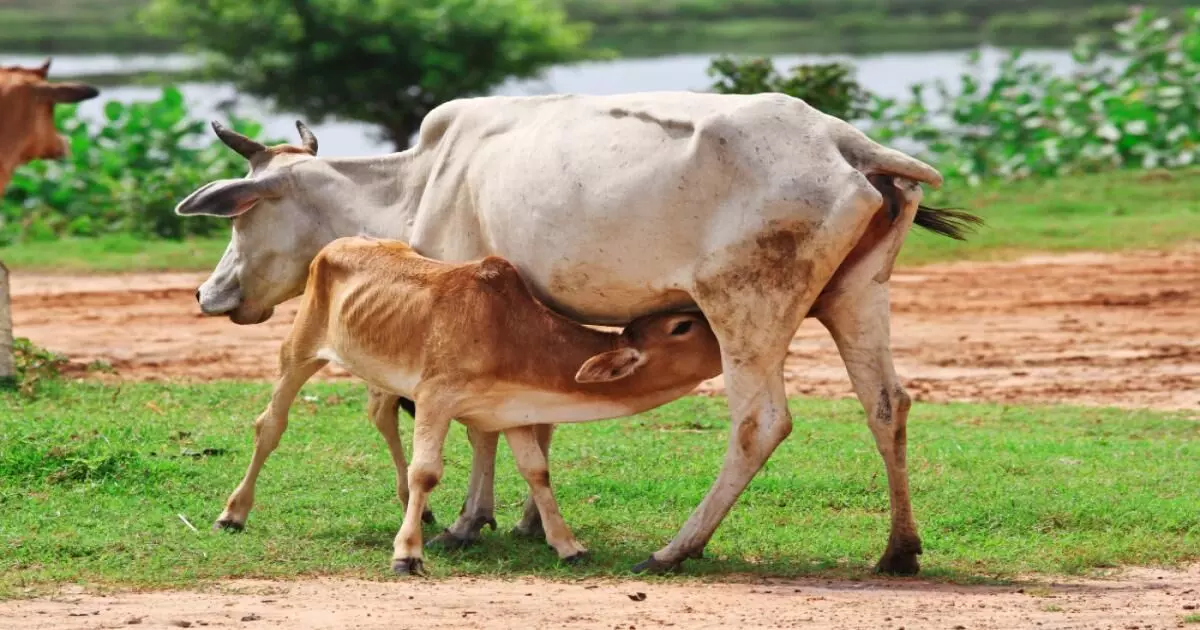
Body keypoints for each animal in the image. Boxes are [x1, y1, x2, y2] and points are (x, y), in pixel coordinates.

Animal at [216, 232, 720, 571]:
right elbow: (427, 471)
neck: (515, 333)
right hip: (299, 351)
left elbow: (537, 472)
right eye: (682, 326)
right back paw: (233, 513)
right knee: (270, 425)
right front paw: (407, 553)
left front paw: (568, 545)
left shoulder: (512, 409)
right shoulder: (435, 397)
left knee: (380, 415)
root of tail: (337, 242)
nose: (725, 338)